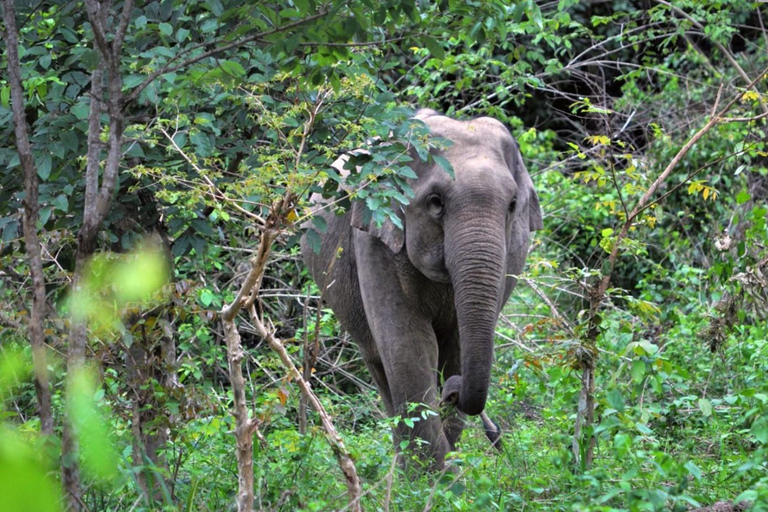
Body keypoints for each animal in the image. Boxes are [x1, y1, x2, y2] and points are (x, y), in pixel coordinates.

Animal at [301, 109, 543, 469]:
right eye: (435, 202)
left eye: (513, 204)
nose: (451, 394)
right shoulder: (375, 236)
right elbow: (408, 346)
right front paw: (435, 478)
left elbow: (455, 348)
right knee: (380, 363)